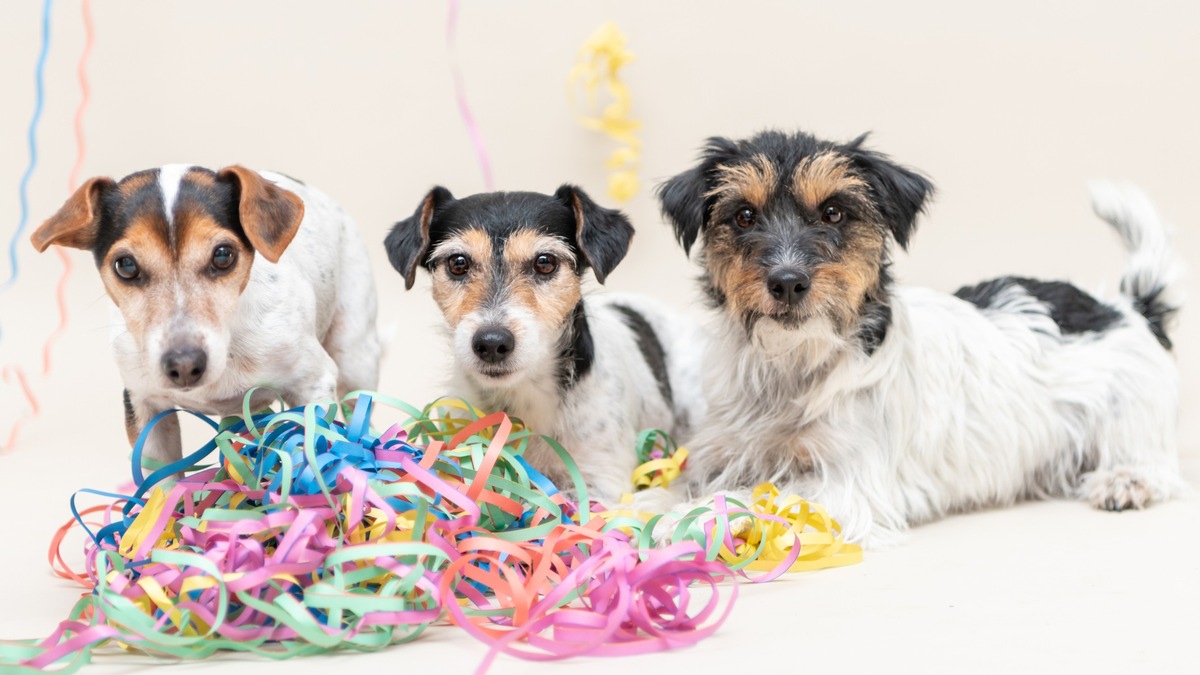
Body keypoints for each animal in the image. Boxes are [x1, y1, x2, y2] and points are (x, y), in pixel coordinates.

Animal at [662, 131, 1185, 547]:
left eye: (833, 212)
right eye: (744, 216)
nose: (788, 282)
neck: (795, 364)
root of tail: (1126, 307)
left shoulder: (849, 486)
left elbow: (756, 496)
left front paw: (687, 519)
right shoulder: (723, 452)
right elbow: (680, 484)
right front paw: (659, 506)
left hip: (1129, 420)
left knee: (1160, 463)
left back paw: (1125, 480)